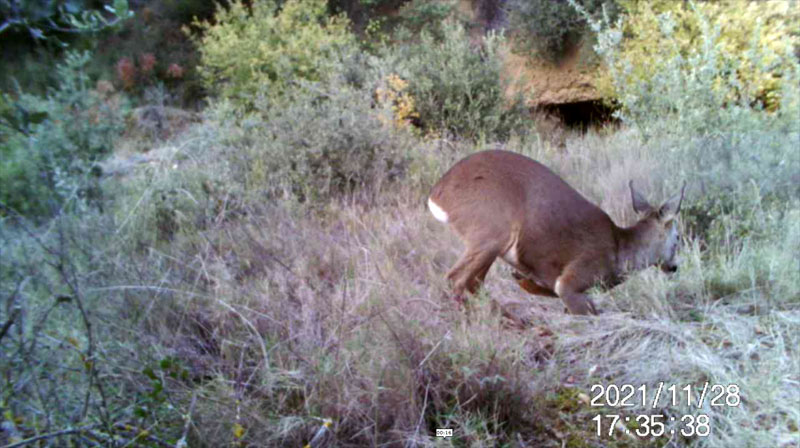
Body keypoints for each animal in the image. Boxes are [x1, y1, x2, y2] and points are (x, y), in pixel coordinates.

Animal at [428, 150, 684, 316]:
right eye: (678, 238)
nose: (674, 267)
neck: (619, 250)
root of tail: (436, 194)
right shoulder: (575, 277)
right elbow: (582, 309)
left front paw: (523, 281)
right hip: (493, 230)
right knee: (456, 279)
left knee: (474, 282)